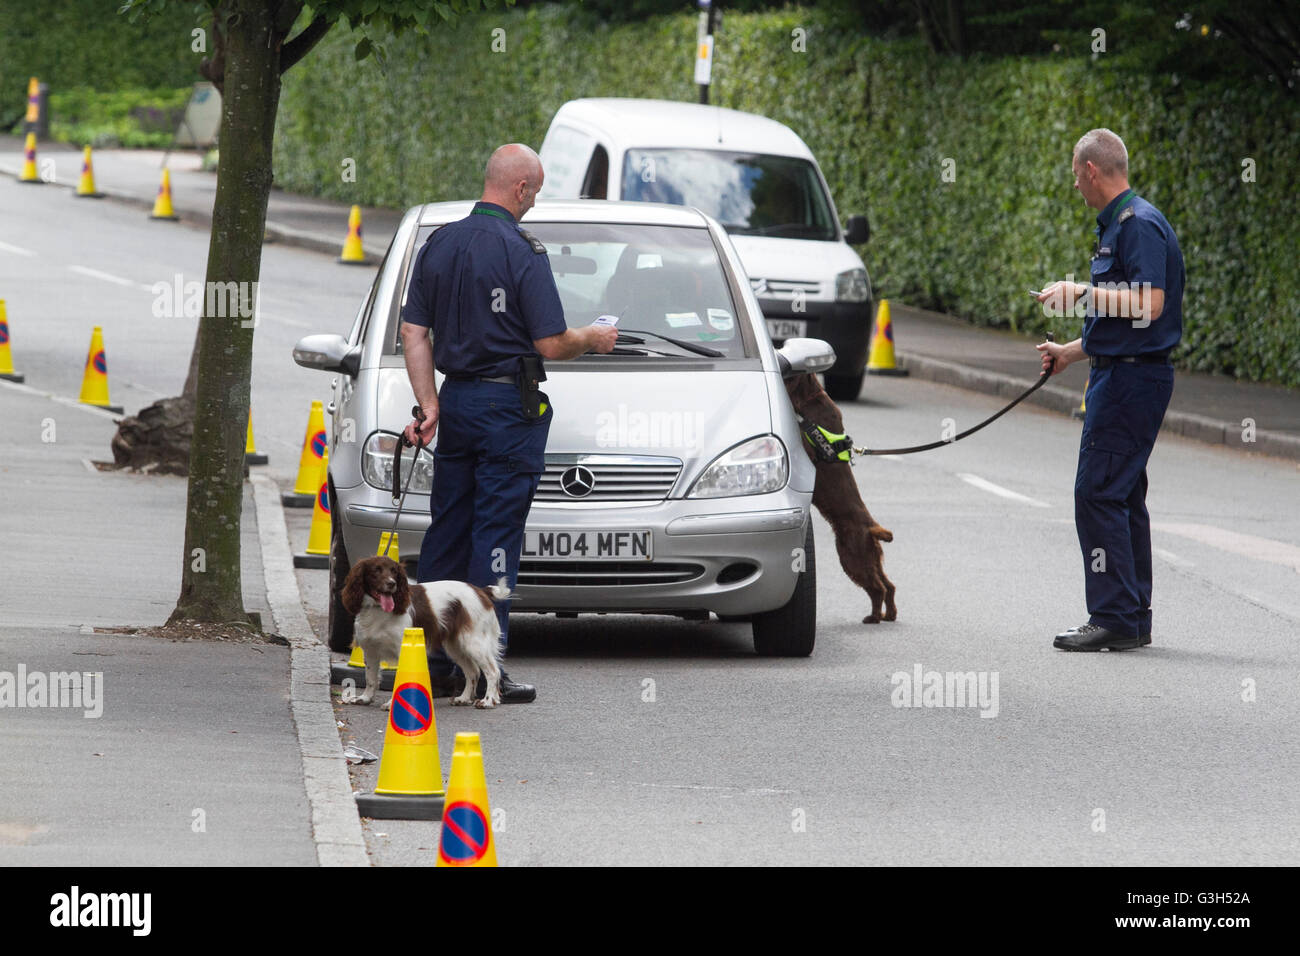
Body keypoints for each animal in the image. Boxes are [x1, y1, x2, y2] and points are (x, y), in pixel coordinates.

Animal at [780, 369, 894, 624]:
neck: (810, 395)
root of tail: (872, 528)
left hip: (852, 558)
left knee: (878, 589)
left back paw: (873, 617)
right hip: (870, 558)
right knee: (889, 585)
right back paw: (889, 615)